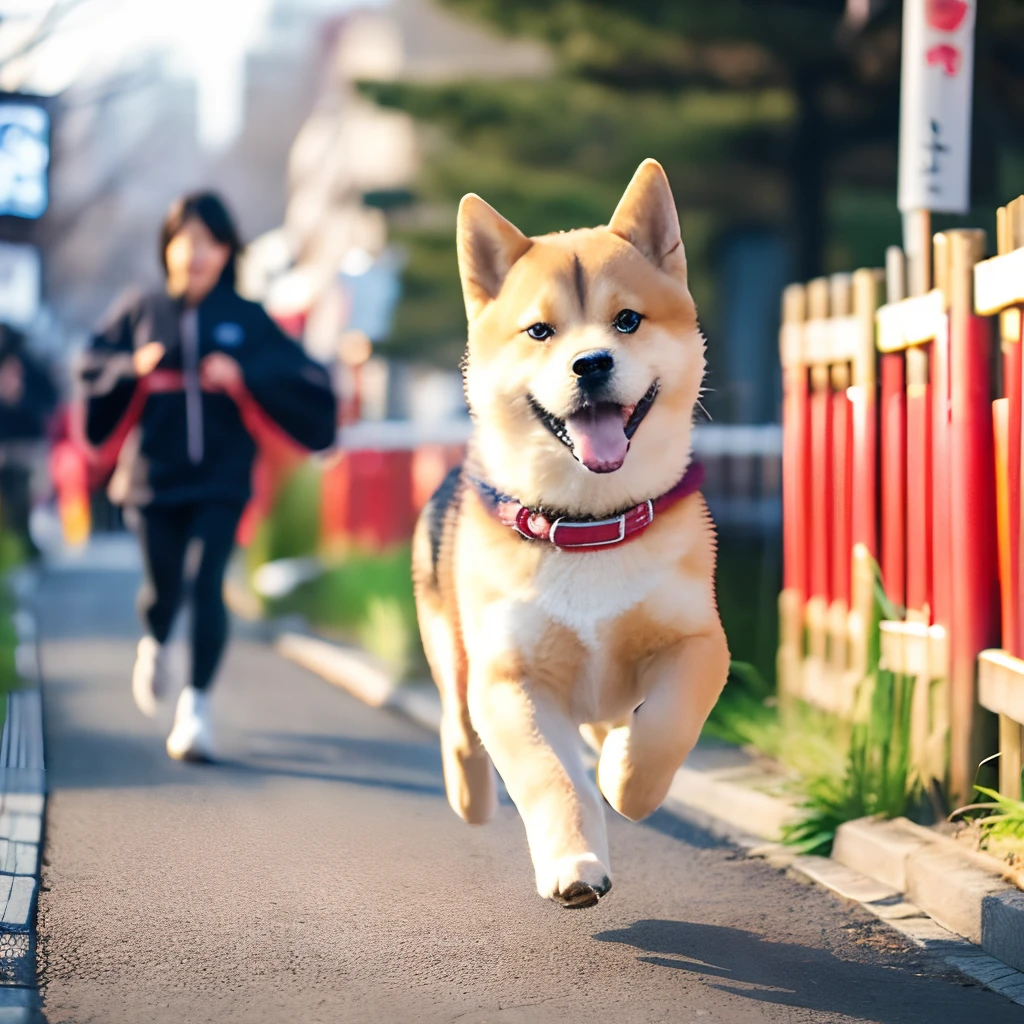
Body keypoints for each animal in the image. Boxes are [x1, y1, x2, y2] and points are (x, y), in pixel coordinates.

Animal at [407, 155, 729, 909]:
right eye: (539, 332)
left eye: (627, 320)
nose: (592, 363)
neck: (588, 524)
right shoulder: (510, 678)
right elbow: (550, 777)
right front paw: (574, 864)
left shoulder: (698, 641)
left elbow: (664, 727)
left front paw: (626, 777)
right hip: (450, 645)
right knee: (457, 727)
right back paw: (470, 794)